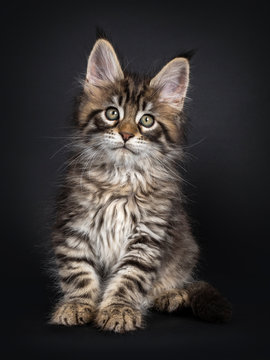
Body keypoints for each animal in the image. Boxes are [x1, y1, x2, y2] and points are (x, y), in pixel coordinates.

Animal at [49, 37, 231, 332]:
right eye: (112, 113)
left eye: (146, 120)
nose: (125, 134)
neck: (120, 179)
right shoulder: (74, 225)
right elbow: (79, 272)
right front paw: (77, 305)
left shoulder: (148, 235)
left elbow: (129, 277)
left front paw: (118, 310)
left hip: (185, 253)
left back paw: (170, 295)